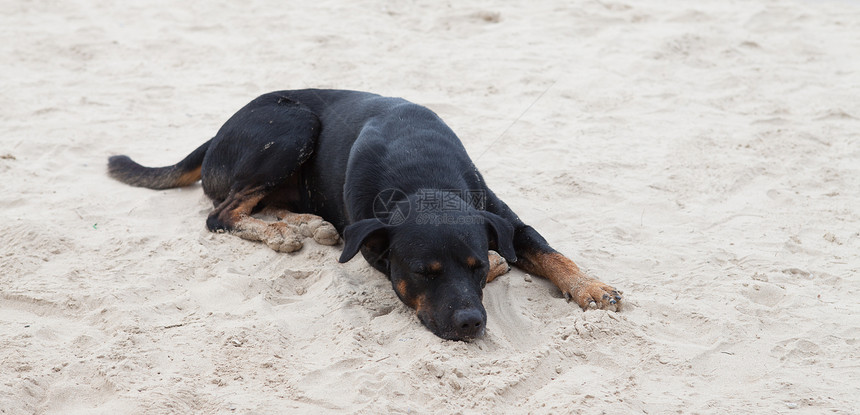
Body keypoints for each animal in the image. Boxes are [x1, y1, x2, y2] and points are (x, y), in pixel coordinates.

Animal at [109, 89, 624, 340]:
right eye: (422, 273)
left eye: (473, 268)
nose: (471, 325)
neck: (421, 175)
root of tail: (217, 134)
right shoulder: (376, 247)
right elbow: (509, 259)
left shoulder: (500, 217)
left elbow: (546, 250)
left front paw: (590, 287)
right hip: (292, 125)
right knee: (221, 213)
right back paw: (280, 233)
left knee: (259, 203)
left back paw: (305, 224)